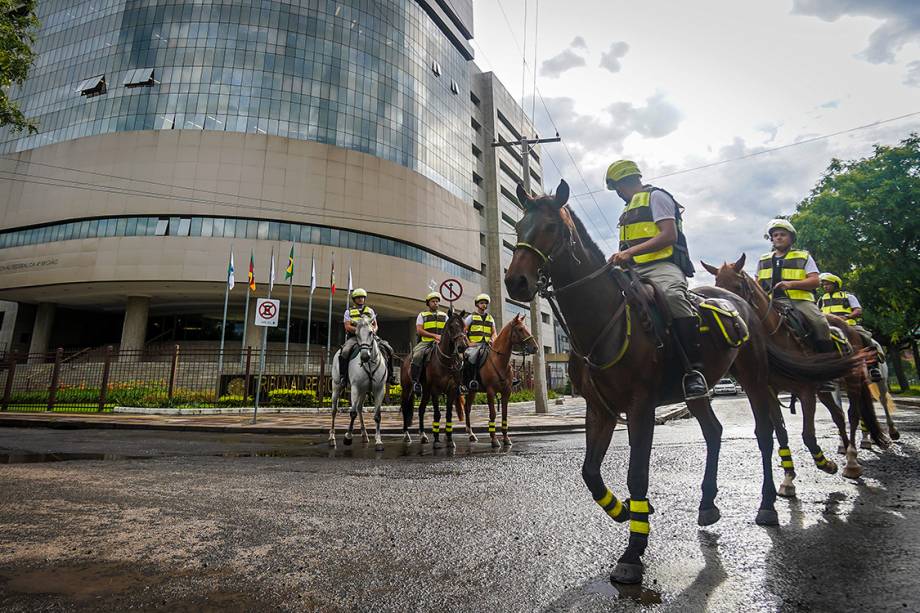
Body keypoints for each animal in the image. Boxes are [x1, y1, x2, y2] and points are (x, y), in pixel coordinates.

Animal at [328, 316, 386, 450]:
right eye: (356, 334)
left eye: (371, 333)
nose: (364, 356)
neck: (369, 364)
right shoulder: (355, 388)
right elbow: (352, 412)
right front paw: (348, 437)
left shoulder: (380, 389)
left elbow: (377, 416)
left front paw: (379, 441)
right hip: (337, 386)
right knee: (334, 410)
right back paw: (332, 438)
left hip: (363, 391)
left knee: (359, 408)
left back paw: (364, 435)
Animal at [398, 310, 468, 450]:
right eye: (451, 327)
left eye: (464, 327)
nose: (462, 347)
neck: (446, 361)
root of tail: (405, 359)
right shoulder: (435, 390)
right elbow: (437, 414)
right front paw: (436, 440)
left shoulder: (452, 390)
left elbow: (448, 414)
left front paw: (450, 440)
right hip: (407, 390)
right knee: (405, 408)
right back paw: (406, 435)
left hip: (426, 391)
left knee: (421, 409)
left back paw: (423, 435)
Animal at [460, 314, 540, 448]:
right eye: (520, 329)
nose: (535, 348)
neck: (499, 361)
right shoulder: (490, 392)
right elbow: (492, 414)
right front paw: (494, 440)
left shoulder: (506, 392)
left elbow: (504, 414)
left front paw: (506, 439)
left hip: (472, 391)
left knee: (467, 408)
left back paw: (471, 434)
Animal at [504, 178, 868, 584]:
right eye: (519, 227)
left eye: (551, 227)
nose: (516, 282)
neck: (604, 322)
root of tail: (743, 305)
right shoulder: (599, 409)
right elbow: (590, 473)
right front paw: (623, 510)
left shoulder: (641, 408)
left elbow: (637, 474)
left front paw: (633, 551)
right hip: (699, 389)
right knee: (714, 432)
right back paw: (708, 503)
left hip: (756, 379)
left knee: (765, 432)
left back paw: (769, 503)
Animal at [700, 256, 888, 480]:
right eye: (717, 284)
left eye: (737, 286)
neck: (776, 336)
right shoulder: (769, 392)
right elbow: (781, 432)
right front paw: (788, 476)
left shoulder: (805, 390)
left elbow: (808, 434)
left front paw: (824, 463)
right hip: (824, 389)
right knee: (838, 415)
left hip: (852, 379)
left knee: (853, 413)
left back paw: (852, 461)